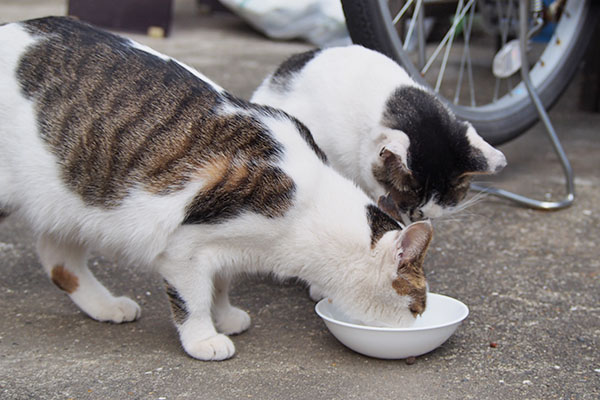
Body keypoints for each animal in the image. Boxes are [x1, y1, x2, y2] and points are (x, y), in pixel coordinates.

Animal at [0, 17, 434, 360]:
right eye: (417, 306)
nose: (419, 323)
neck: (307, 208)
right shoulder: (183, 249)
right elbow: (192, 299)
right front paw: (204, 338)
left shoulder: (223, 248)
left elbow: (220, 284)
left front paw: (224, 316)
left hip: (71, 202)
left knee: (58, 259)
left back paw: (105, 306)